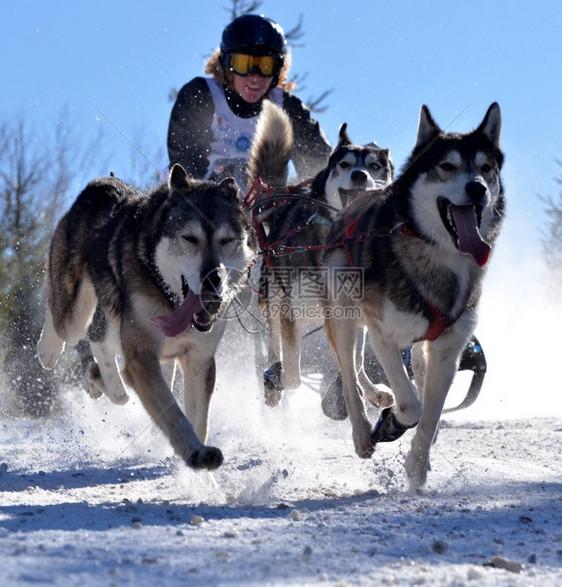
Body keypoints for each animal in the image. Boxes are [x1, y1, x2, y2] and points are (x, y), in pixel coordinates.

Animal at [38, 167, 256, 474]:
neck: (169, 297)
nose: (213, 278)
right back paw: (50, 351)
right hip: (74, 313)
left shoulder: (199, 359)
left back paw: (106, 382)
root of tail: (103, 182)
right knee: (64, 319)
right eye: (189, 238)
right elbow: (174, 415)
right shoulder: (142, 357)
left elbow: (197, 418)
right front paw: (194, 452)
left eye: (226, 240)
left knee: (102, 350)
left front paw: (196, 456)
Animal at [247, 103, 392, 406]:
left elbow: (353, 361)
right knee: (274, 344)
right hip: (274, 297)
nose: (360, 175)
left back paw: (371, 390)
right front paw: (276, 379)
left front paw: (361, 391)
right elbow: (293, 377)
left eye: (374, 166)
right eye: (345, 164)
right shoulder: (289, 309)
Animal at [320, 103, 504, 490]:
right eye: (446, 166)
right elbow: (412, 407)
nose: (477, 188)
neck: (438, 257)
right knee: (349, 375)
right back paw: (362, 433)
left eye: (486, 168)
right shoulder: (383, 337)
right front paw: (388, 424)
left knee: (391, 371)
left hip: (417, 348)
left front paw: (417, 472)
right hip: (343, 314)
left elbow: (431, 417)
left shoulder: (448, 350)